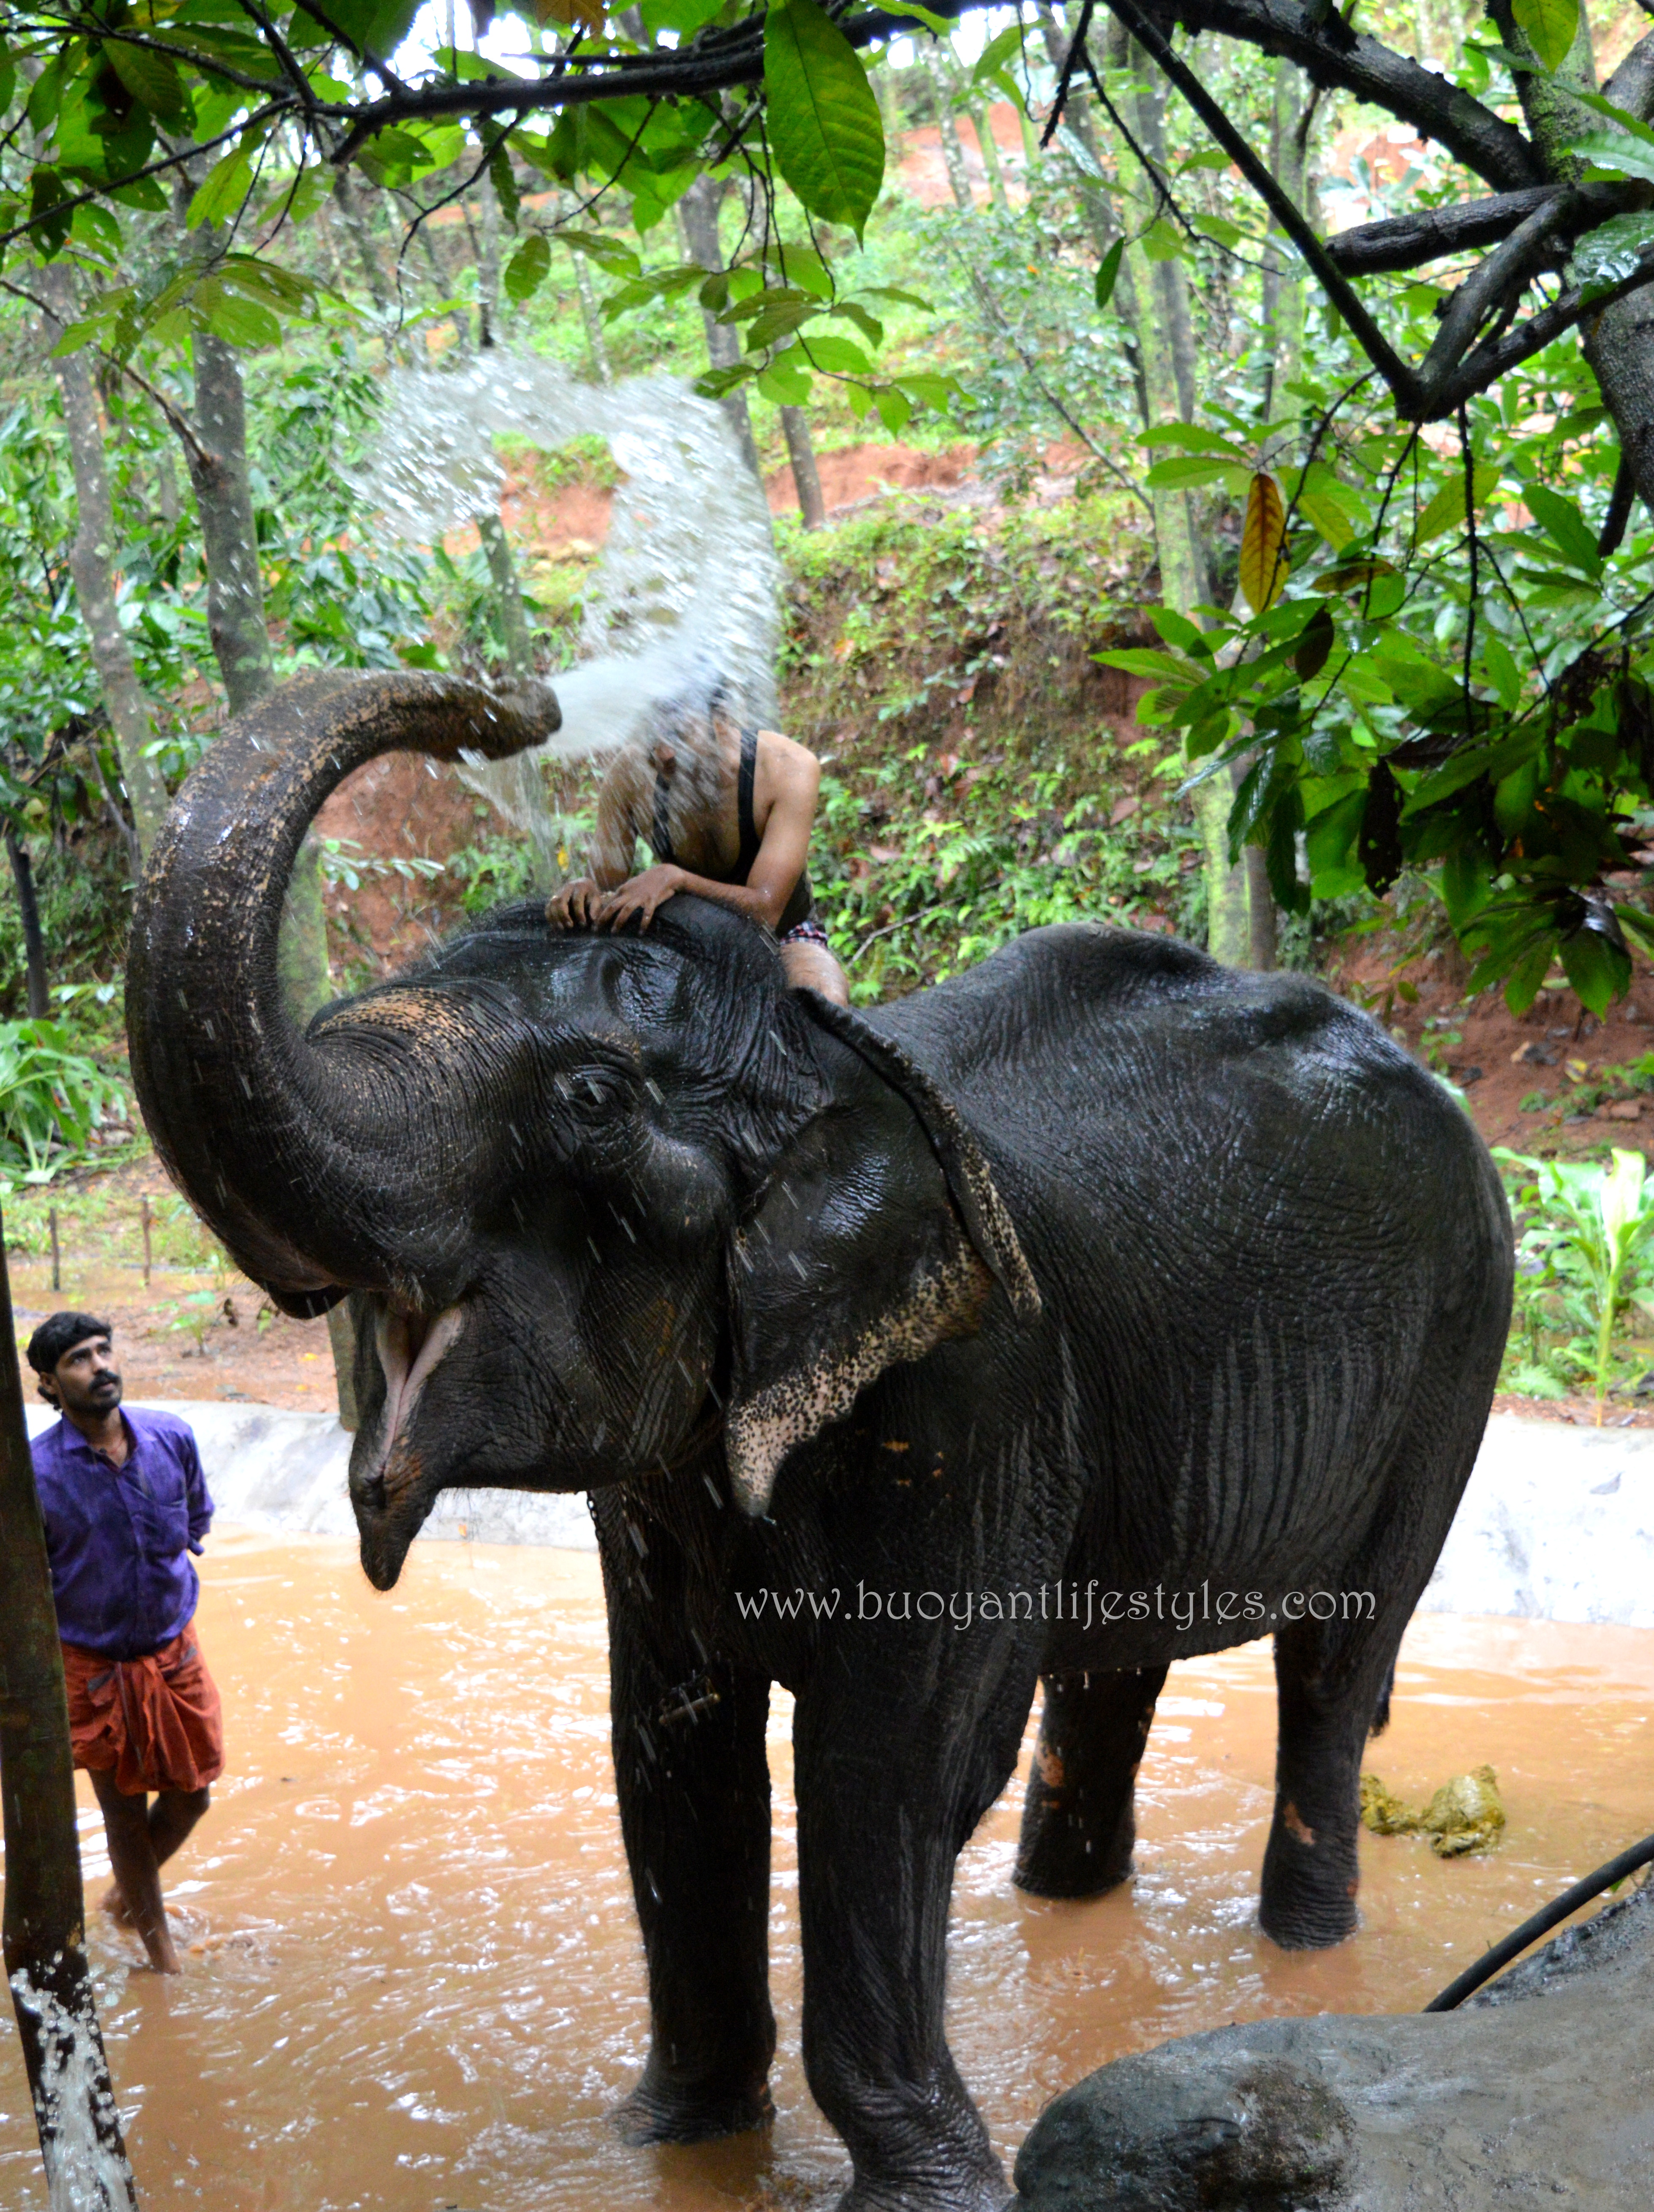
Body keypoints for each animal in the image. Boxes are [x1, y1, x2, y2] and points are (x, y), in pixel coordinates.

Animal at [133, 672, 1512, 2212]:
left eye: (590, 1101)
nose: (517, 707)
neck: (826, 1068)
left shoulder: (976, 1393)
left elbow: (891, 1762)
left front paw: (928, 2189)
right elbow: (671, 1752)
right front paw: (668, 2141)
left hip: (1461, 1338)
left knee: (1337, 1660)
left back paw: (1309, 1952)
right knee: (1114, 1670)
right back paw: (1067, 1903)